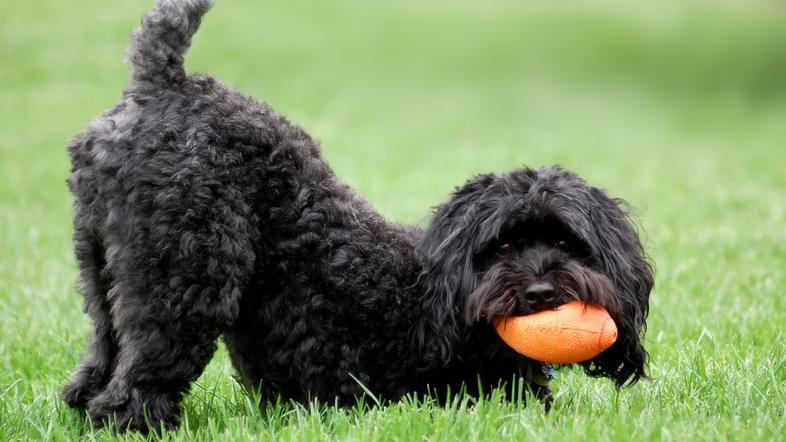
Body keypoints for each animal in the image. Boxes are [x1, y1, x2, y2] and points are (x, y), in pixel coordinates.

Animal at [62, 0, 648, 432]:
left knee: (99, 359)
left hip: (102, 268)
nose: (542, 295)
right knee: (140, 377)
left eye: (568, 244)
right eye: (502, 246)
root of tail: (163, 85)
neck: (440, 290)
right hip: (186, 280)